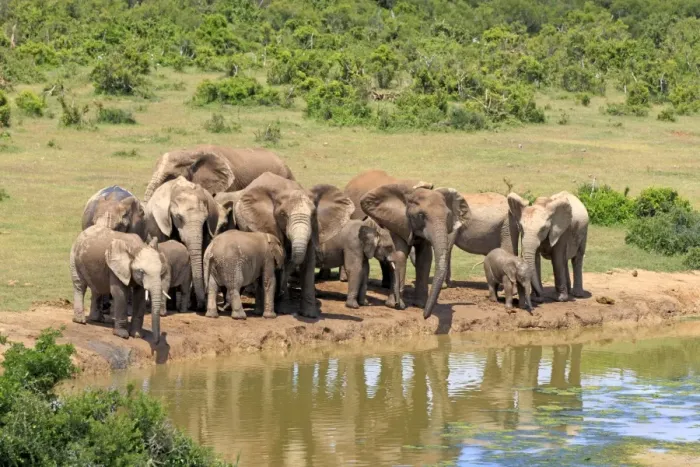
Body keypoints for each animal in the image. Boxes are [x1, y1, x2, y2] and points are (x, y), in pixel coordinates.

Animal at [231, 172, 353, 318]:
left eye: (314, 215)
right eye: (283, 215)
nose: (280, 292)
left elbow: (308, 263)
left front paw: (309, 315)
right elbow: (282, 258)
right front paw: (284, 309)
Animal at [359, 176, 469, 318]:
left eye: (448, 216)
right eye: (421, 215)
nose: (424, 316)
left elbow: (425, 258)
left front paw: (420, 305)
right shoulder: (397, 222)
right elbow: (400, 255)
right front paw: (395, 306)